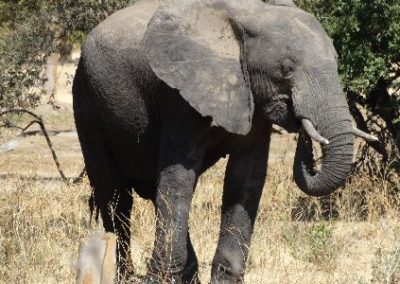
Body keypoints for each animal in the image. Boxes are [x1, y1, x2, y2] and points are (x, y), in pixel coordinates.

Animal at [72, 0, 378, 282]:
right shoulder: (179, 96)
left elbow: (246, 178)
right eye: (287, 68)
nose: (305, 133)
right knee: (116, 197)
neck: (250, 16)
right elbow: (178, 180)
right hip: (86, 100)